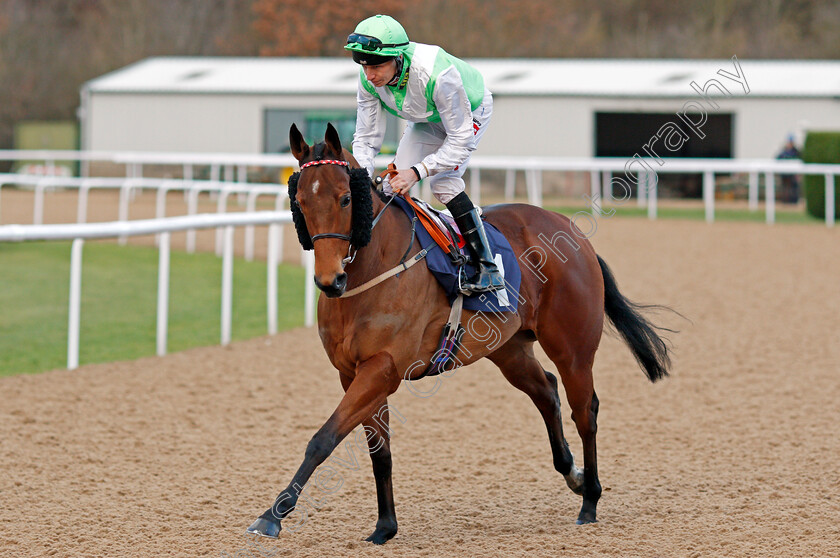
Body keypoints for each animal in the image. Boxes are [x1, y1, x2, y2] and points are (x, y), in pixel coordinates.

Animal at [246, 123, 672, 548]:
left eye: (346, 198)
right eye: (300, 201)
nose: (330, 280)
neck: (373, 272)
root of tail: (572, 231)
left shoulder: (382, 369)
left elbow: (323, 439)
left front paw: (272, 516)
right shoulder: (352, 372)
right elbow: (378, 451)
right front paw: (385, 526)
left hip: (573, 349)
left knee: (585, 411)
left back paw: (591, 500)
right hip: (509, 350)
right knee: (546, 392)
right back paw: (574, 476)